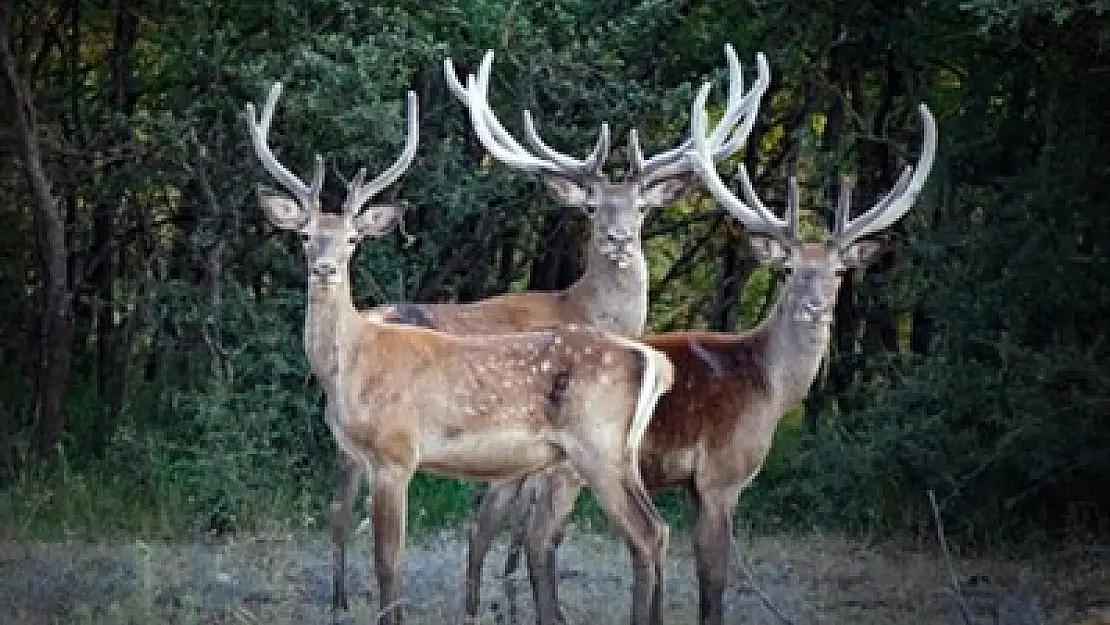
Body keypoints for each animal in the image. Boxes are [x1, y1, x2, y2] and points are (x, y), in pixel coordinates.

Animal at [245, 82, 674, 625]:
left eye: (353, 238)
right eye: (303, 236)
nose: (324, 268)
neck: (354, 366)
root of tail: (652, 360)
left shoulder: (396, 452)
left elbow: (388, 562)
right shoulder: (363, 454)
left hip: (597, 445)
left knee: (644, 533)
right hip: (619, 452)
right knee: (656, 530)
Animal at [317, 45, 772, 617]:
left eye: (643, 207)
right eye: (593, 207)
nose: (619, 239)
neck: (580, 306)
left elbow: (506, 530)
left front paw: (495, 600)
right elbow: (512, 529)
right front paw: (504, 603)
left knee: (339, 509)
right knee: (345, 509)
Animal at [468, 79, 936, 625]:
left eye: (839, 272)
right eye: (789, 269)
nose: (815, 308)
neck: (767, 387)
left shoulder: (692, 485)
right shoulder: (721, 475)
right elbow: (713, 579)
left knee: (495, 527)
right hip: (571, 465)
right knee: (539, 537)